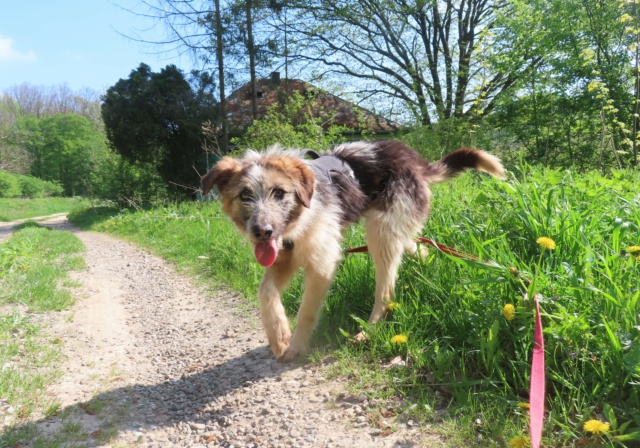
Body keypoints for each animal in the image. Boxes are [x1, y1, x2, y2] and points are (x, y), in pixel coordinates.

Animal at [201, 139, 504, 360]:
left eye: (279, 193)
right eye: (245, 195)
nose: (262, 231)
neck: (299, 219)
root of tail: (413, 160)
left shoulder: (322, 262)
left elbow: (307, 310)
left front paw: (296, 345)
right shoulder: (284, 256)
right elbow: (265, 291)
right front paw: (279, 336)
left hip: (381, 231)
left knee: (386, 291)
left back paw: (368, 331)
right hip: (391, 228)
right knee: (412, 245)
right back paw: (426, 262)